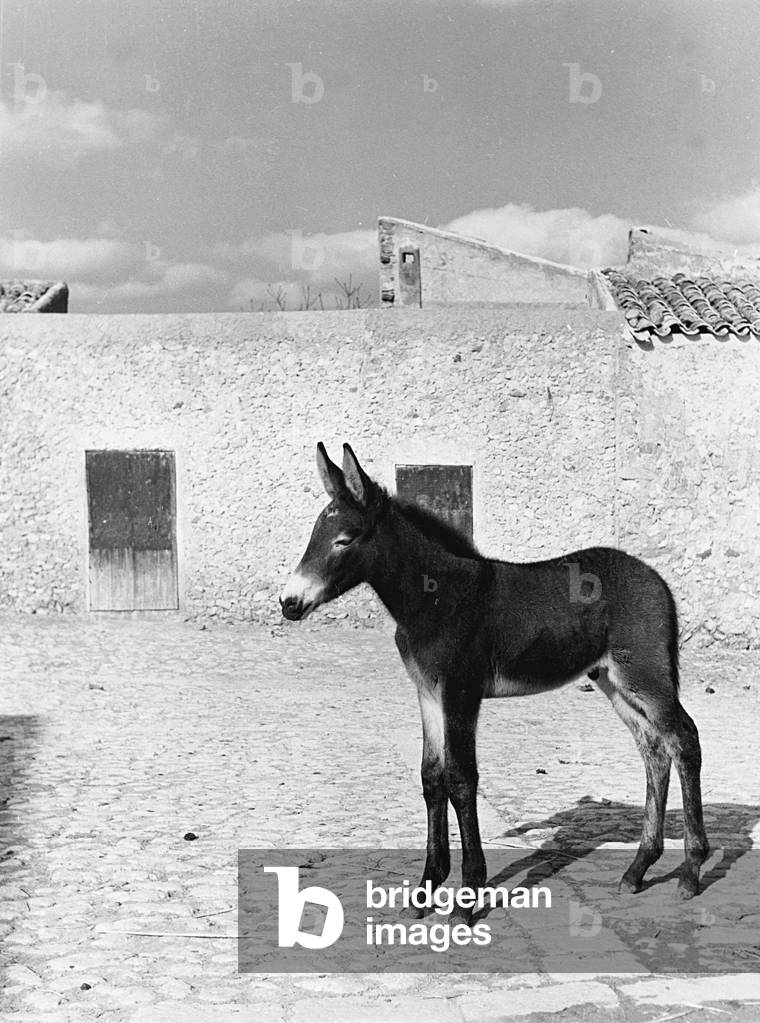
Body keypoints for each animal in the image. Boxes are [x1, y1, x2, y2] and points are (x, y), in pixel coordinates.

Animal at [280, 442, 709, 918]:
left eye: (345, 540)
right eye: (314, 535)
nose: (289, 603)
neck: (436, 597)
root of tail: (655, 579)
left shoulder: (461, 692)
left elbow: (461, 778)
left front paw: (468, 896)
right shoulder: (428, 693)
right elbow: (432, 778)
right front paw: (426, 888)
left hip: (645, 674)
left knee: (684, 740)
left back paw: (691, 870)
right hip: (612, 681)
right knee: (654, 749)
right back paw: (638, 869)